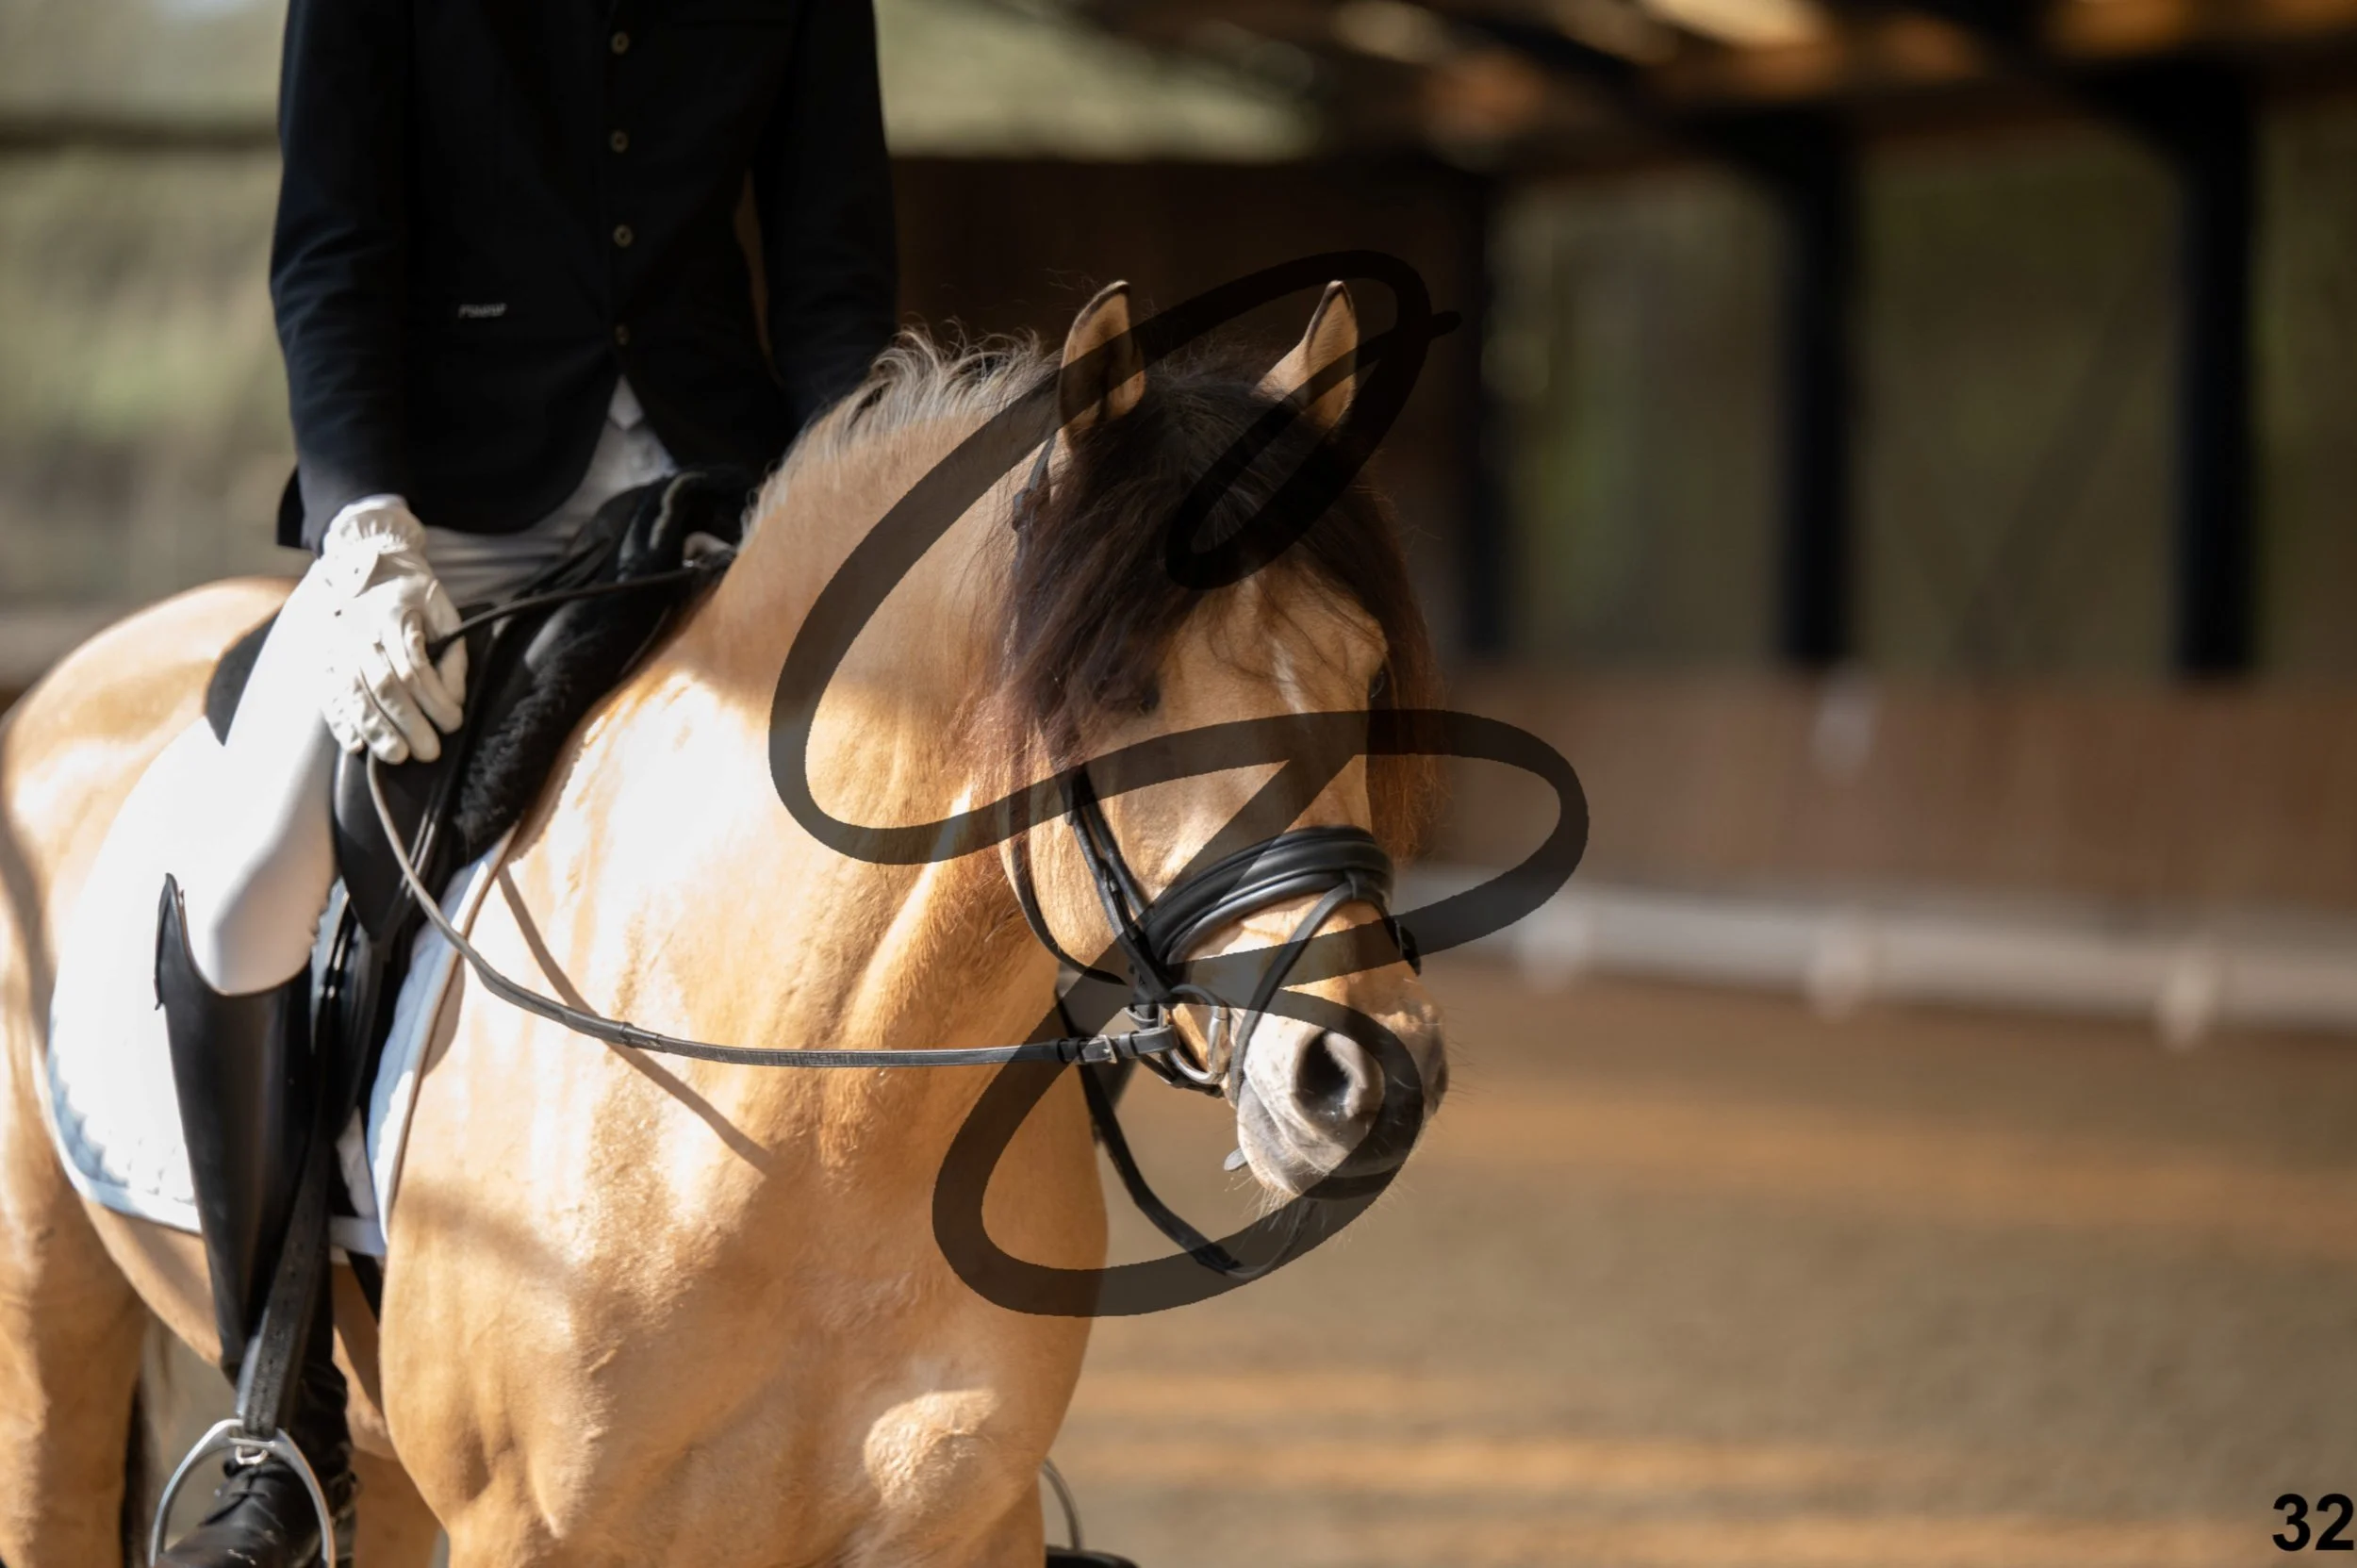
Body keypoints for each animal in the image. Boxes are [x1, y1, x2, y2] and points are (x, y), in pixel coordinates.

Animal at [0, 278, 1444, 1566]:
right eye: (1117, 691)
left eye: (1364, 668)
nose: (1360, 1078)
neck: (810, 1119)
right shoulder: (533, 1535)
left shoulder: (959, 1526)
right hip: (48, 1345)